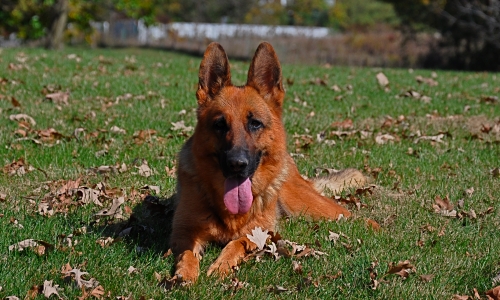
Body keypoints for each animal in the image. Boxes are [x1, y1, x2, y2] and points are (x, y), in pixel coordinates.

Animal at [170, 42, 366, 284]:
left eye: (255, 124)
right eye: (220, 124)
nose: (237, 164)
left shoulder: (260, 232)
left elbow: (237, 243)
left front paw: (222, 265)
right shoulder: (183, 231)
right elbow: (187, 252)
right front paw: (186, 272)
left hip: (311, 206)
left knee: (350, 216)